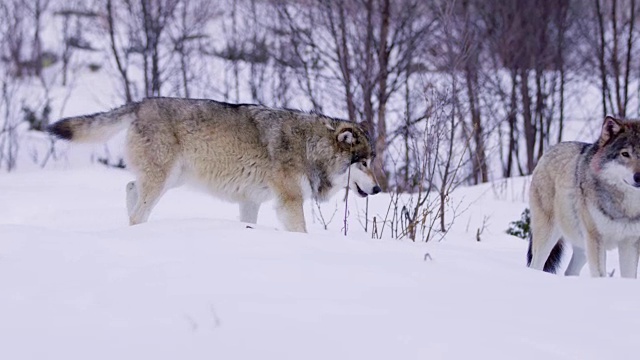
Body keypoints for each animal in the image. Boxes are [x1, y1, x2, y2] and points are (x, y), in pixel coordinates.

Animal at [50, 97, 382, 232]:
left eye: (372, 161)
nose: (379, 189)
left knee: (131, 187)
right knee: (137, 207)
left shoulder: (251, 201)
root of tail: (141, 103)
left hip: (170, 179)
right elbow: (300, 231)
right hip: (162, 180)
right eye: (364, 162)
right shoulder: (289, 201)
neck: (309, 146)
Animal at [528, 116, 640, 278]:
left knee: (569, 272)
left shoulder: (630, 243)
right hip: (548, 237)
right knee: (535, 265)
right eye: (625, 154)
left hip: (582, 245)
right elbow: (600, 275)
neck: (625, 207)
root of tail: (549, 150)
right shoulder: (596, 239)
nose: (639, 177)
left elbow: (630, 276)